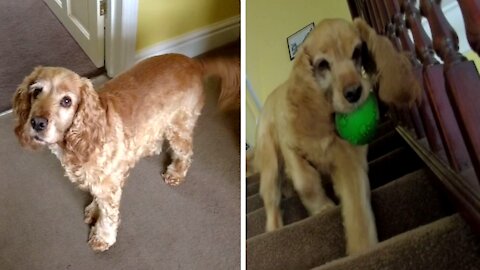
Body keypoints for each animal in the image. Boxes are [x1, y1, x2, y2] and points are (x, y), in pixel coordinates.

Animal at [12, 53, 240, 252]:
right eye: (36, 92)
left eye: (66, 101)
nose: (37, 122)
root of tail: (195, 63)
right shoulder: (100, 181)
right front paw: (93, 210)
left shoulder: (109, 186)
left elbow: (108, 218)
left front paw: (102, 238)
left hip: (179, 126)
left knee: (185, 152)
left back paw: (176, 173)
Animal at [248, 19, 420, 255]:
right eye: (322, 64)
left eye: (357, 52)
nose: (354, 92)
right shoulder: (289, 146)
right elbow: (305, 181)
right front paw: (321, 208)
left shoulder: (351, 161)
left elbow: (358, 209)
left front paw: (363, 248)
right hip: (270, 163)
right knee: (271, 198)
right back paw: (275, 228)